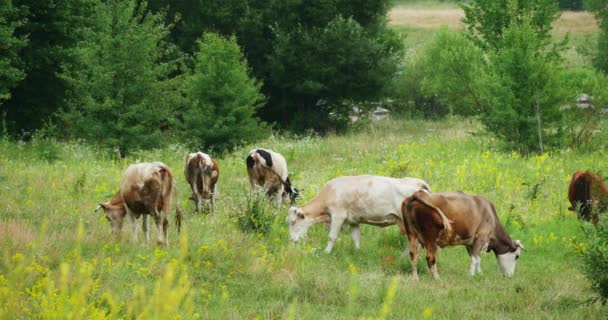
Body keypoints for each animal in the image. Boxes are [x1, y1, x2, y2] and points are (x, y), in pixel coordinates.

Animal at [286, 174, 432, 254]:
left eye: (293, 222)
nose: (292, 240)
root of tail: (417, 182)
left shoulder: (338, 215)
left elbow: (332, 237)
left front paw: (326, 252)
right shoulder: (354, 220)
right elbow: (355, 238)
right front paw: (357, 252)